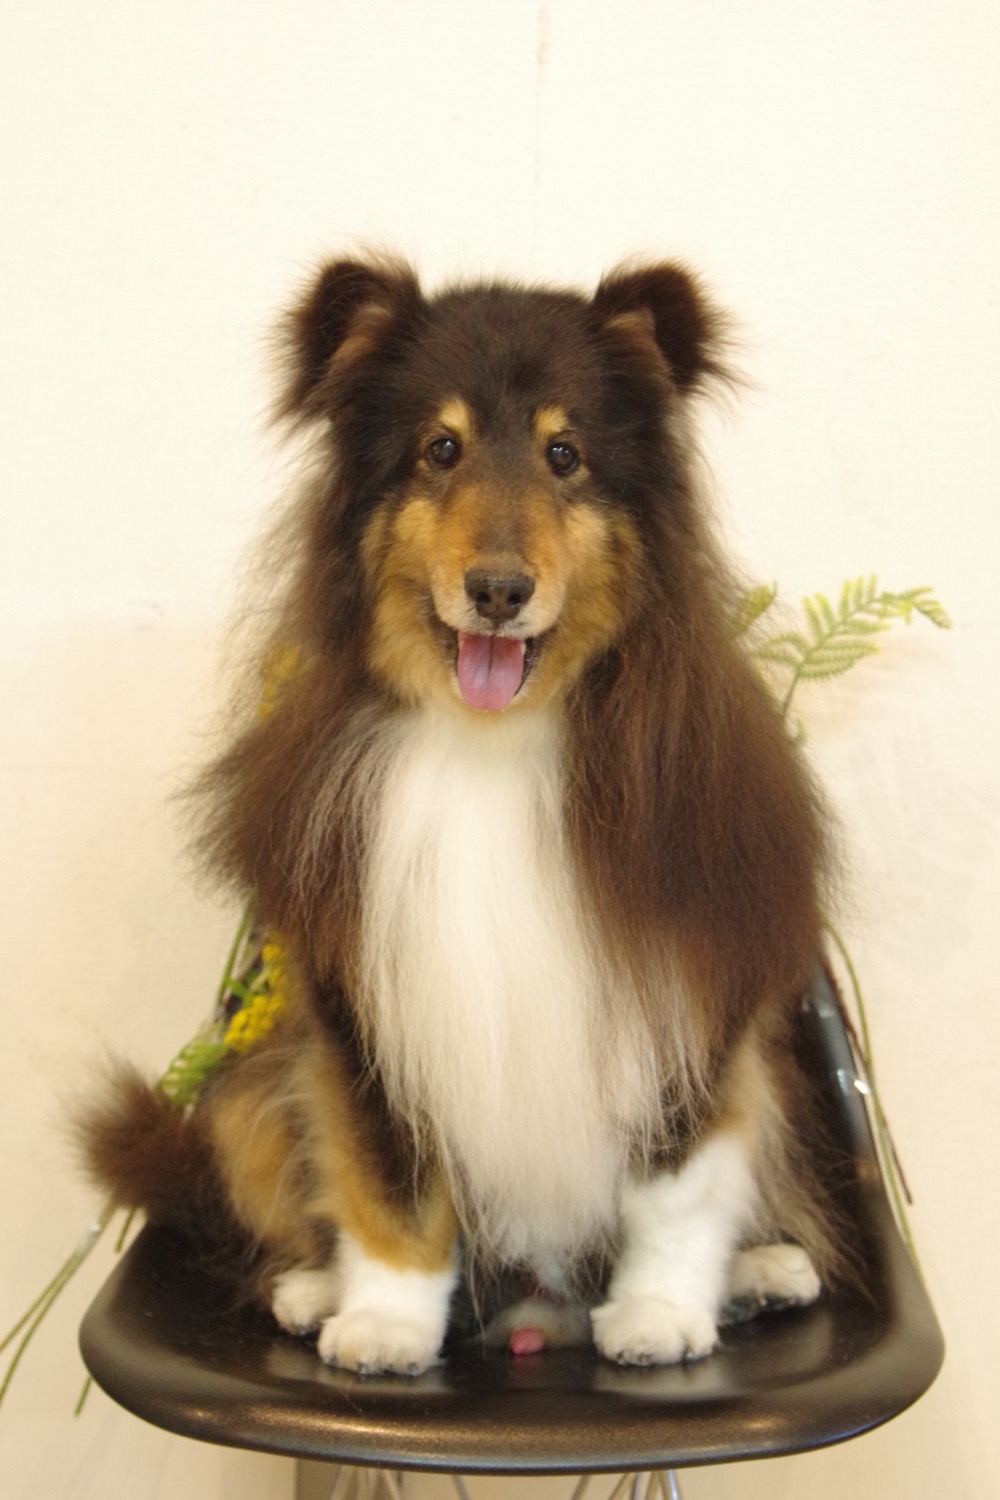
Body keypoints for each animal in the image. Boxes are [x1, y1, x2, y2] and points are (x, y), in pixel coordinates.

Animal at [81, 255, 839, 1375]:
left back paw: (764, 1271)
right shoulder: (363, 1005)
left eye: (565, 454)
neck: (498, 744)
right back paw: (313, 1289)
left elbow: (677, 1180)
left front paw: (660, 1313)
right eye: (441, 449)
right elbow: (387, 1180)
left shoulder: (690, 987)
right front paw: (386, 1323)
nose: (497, 589)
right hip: (247, 1093)